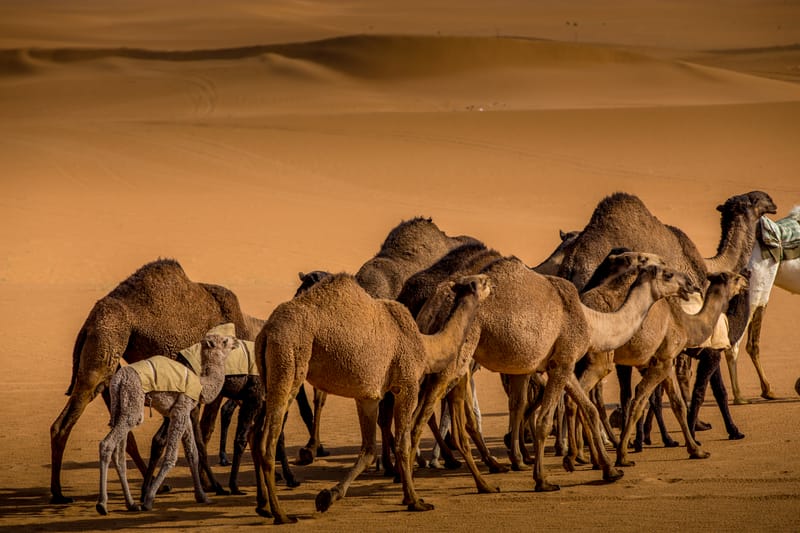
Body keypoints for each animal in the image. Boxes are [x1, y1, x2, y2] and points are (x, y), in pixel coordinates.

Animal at [96, 333, 238, 515]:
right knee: (107, 444)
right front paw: (149, 499)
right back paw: (102, 504)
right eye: (225, 341)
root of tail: (118, 379)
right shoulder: (180, 410)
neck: (201, 385)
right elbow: (171, 456)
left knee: (119, 454)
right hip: (132, 405)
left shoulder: (183, 413)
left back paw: (131, 504)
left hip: (120, 407)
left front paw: (202, 496)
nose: (236, 342)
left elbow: (192, 454)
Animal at [251, 273, 491, 523]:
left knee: (256, 435)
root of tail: (267, 332)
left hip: (269, 374)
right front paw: (415, 501)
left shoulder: (368, 396)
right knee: (268, 441)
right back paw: (281, 514)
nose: (490, 280)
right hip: (289, 361)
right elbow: (403, 441)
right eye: (481, 283)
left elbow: (368, 450)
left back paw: (264, 506)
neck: (426, 348)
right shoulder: (406, 384)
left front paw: (328, 497)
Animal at [410, 256, 696, 493]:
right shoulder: (564, 362)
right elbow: (545, 420)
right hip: (459, 352)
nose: (691, 284)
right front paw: (543, 480)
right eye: (668, 274)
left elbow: (589, 409)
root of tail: (435, 304)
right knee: (420, 416)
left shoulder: (561, 363)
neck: (592, 321)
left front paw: (609, 470)